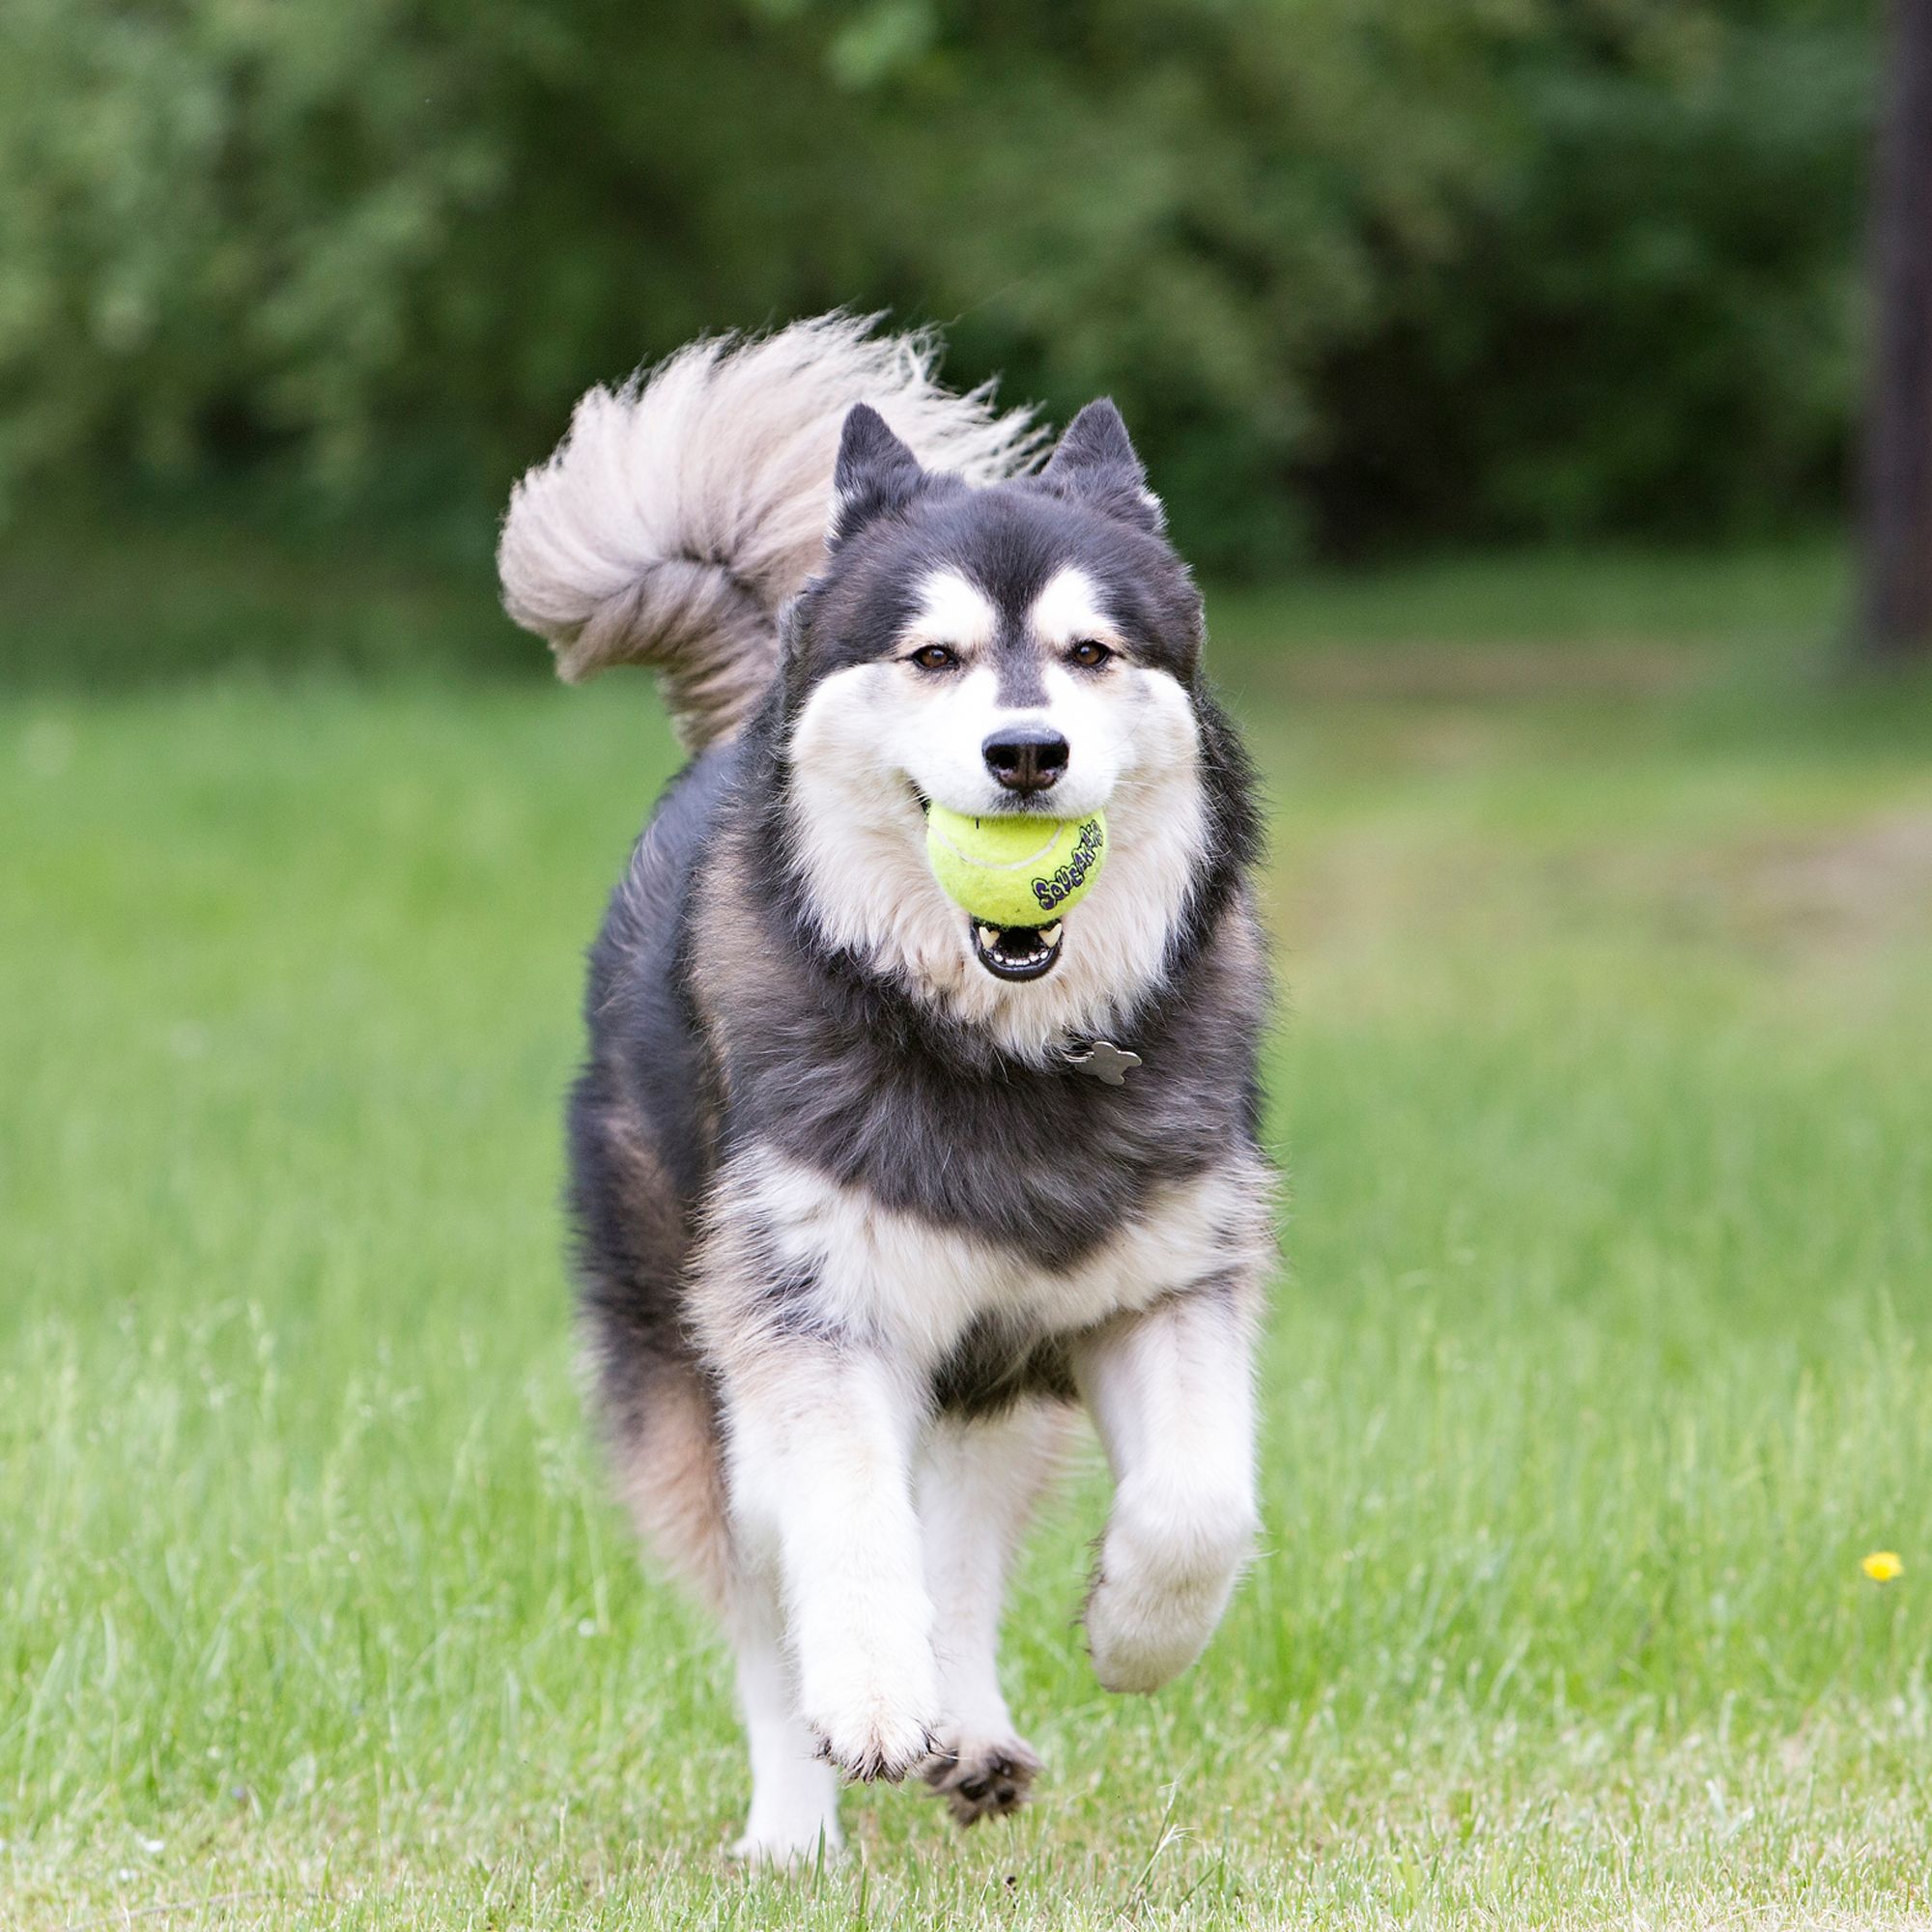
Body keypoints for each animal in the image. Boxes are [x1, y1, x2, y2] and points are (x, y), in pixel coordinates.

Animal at [506, 313, 1275, 1855]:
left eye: (1092, 653)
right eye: (933, 655)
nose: (1026, 752)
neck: (997, 1051)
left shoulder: (1161, 1279)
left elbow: (1200, 1502)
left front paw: (1133, 1634)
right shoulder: (807, 1305)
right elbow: (850, 1521)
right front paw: (865, 1700)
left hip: (992, 1364)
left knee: (964, 1537)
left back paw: (967, 1728)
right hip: (686, 1341)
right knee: (767, 1587)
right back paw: (794, 1825)